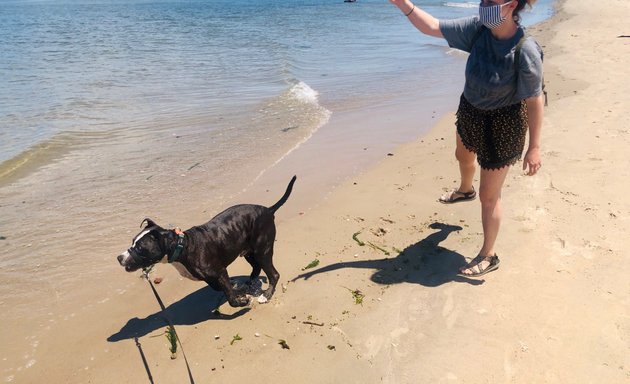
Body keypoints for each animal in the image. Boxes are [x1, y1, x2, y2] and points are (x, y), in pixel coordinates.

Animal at [117, 176, 298, 308]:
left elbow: (230, 297)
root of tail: (268, 210)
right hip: (249, 252)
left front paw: (241, 300)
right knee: (256, 267)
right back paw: (249, 283)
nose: (119, 258)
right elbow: (221, 287)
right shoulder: (212, 277)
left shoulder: (219, 271)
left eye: (140, 248)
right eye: (132, 242)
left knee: (273, 274)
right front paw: (238, 288)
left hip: (262, 251)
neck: (182, 245)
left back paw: (266, 295)